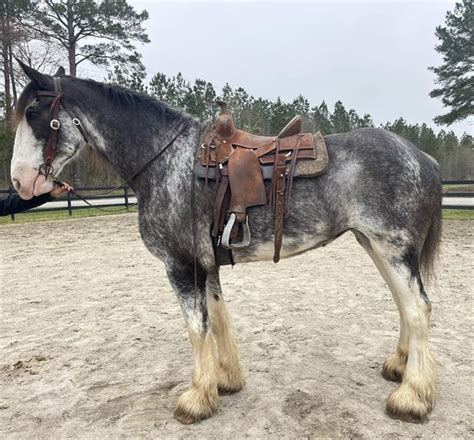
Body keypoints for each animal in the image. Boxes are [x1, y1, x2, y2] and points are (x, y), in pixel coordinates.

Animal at [10, 63, 440, 424]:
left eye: (33, 113)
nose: (19, 182)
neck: (167, 161)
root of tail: (422, 157)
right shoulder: (206, 264)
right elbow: (217, 319)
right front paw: (226, 380)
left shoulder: (180, 266)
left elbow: (195, 328)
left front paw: (197, 398)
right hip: (376, 246)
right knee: (405, 306)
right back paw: (400, 367)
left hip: (393, 249)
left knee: (418, 309)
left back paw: (412, 398)